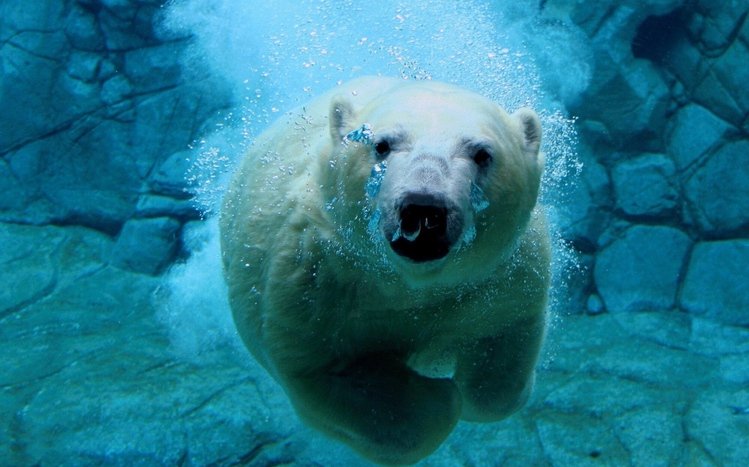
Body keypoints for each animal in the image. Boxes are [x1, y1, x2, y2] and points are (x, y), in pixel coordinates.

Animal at [220, 76, 550, 465]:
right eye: (381, 145)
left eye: (482, 153)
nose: (424, 208)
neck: (408, 284)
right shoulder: (312, 281)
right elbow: (328, 373)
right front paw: (438, 397)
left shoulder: (500, 277)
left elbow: (503, 344)